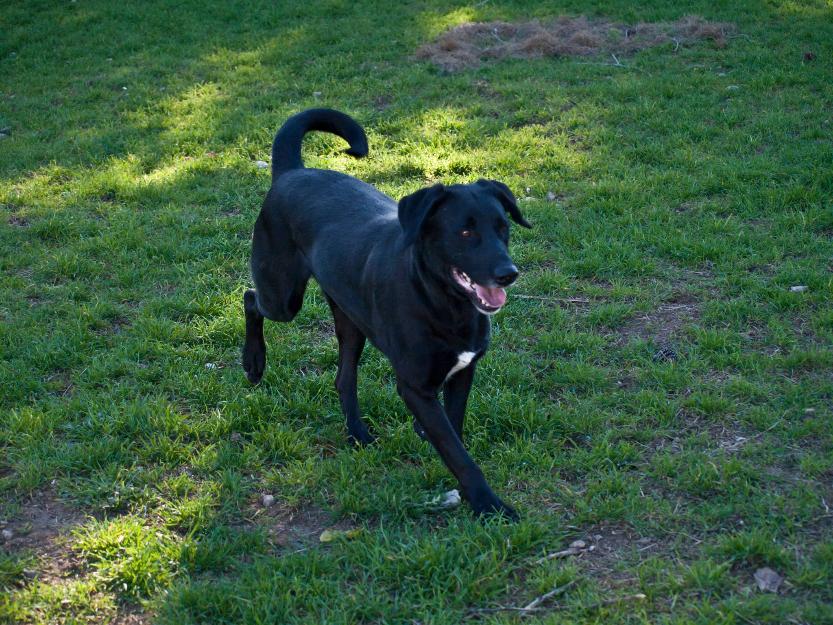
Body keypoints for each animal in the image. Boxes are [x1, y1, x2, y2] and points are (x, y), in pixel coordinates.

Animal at [240, 108, 528, 516]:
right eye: (465, 232)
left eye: (503, 227)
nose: (508, 273)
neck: (443, 302)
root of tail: (293, 172)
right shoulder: (414, 387)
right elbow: (458, 452)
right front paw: (488, 503)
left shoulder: (463, 372)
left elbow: (453, 429)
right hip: (283, 296)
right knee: (252, 298)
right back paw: (254, 363)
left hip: (350, 318)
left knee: (343, 378)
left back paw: (357, 433)